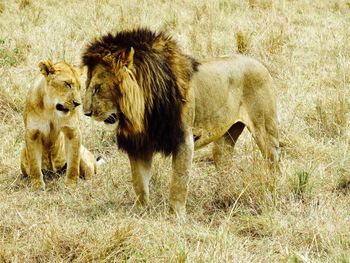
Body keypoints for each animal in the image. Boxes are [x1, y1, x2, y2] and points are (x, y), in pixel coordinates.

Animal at [20, 59, 98, 190]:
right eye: (67, 84)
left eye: (79, 87)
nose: (77, 103)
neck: (50, 108)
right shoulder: (32, 133)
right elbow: (34, 164)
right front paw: (37, 185)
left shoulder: (72, 131)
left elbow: (73, 162)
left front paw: (71, 184)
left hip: (84, 156)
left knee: (90, 173)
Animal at [81, 28, 278, 219]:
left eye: (98, 88)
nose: (86, 112)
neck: (142, 110)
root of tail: (259, 63)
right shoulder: (139, 144)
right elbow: (139, 182)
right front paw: (139, 211)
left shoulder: (184, 139)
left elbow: (179, 180)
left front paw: (176, 216)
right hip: (225, 139)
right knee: (224, 164)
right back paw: (224, 194)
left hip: (265, 130)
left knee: (273, 160)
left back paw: (272, 189)